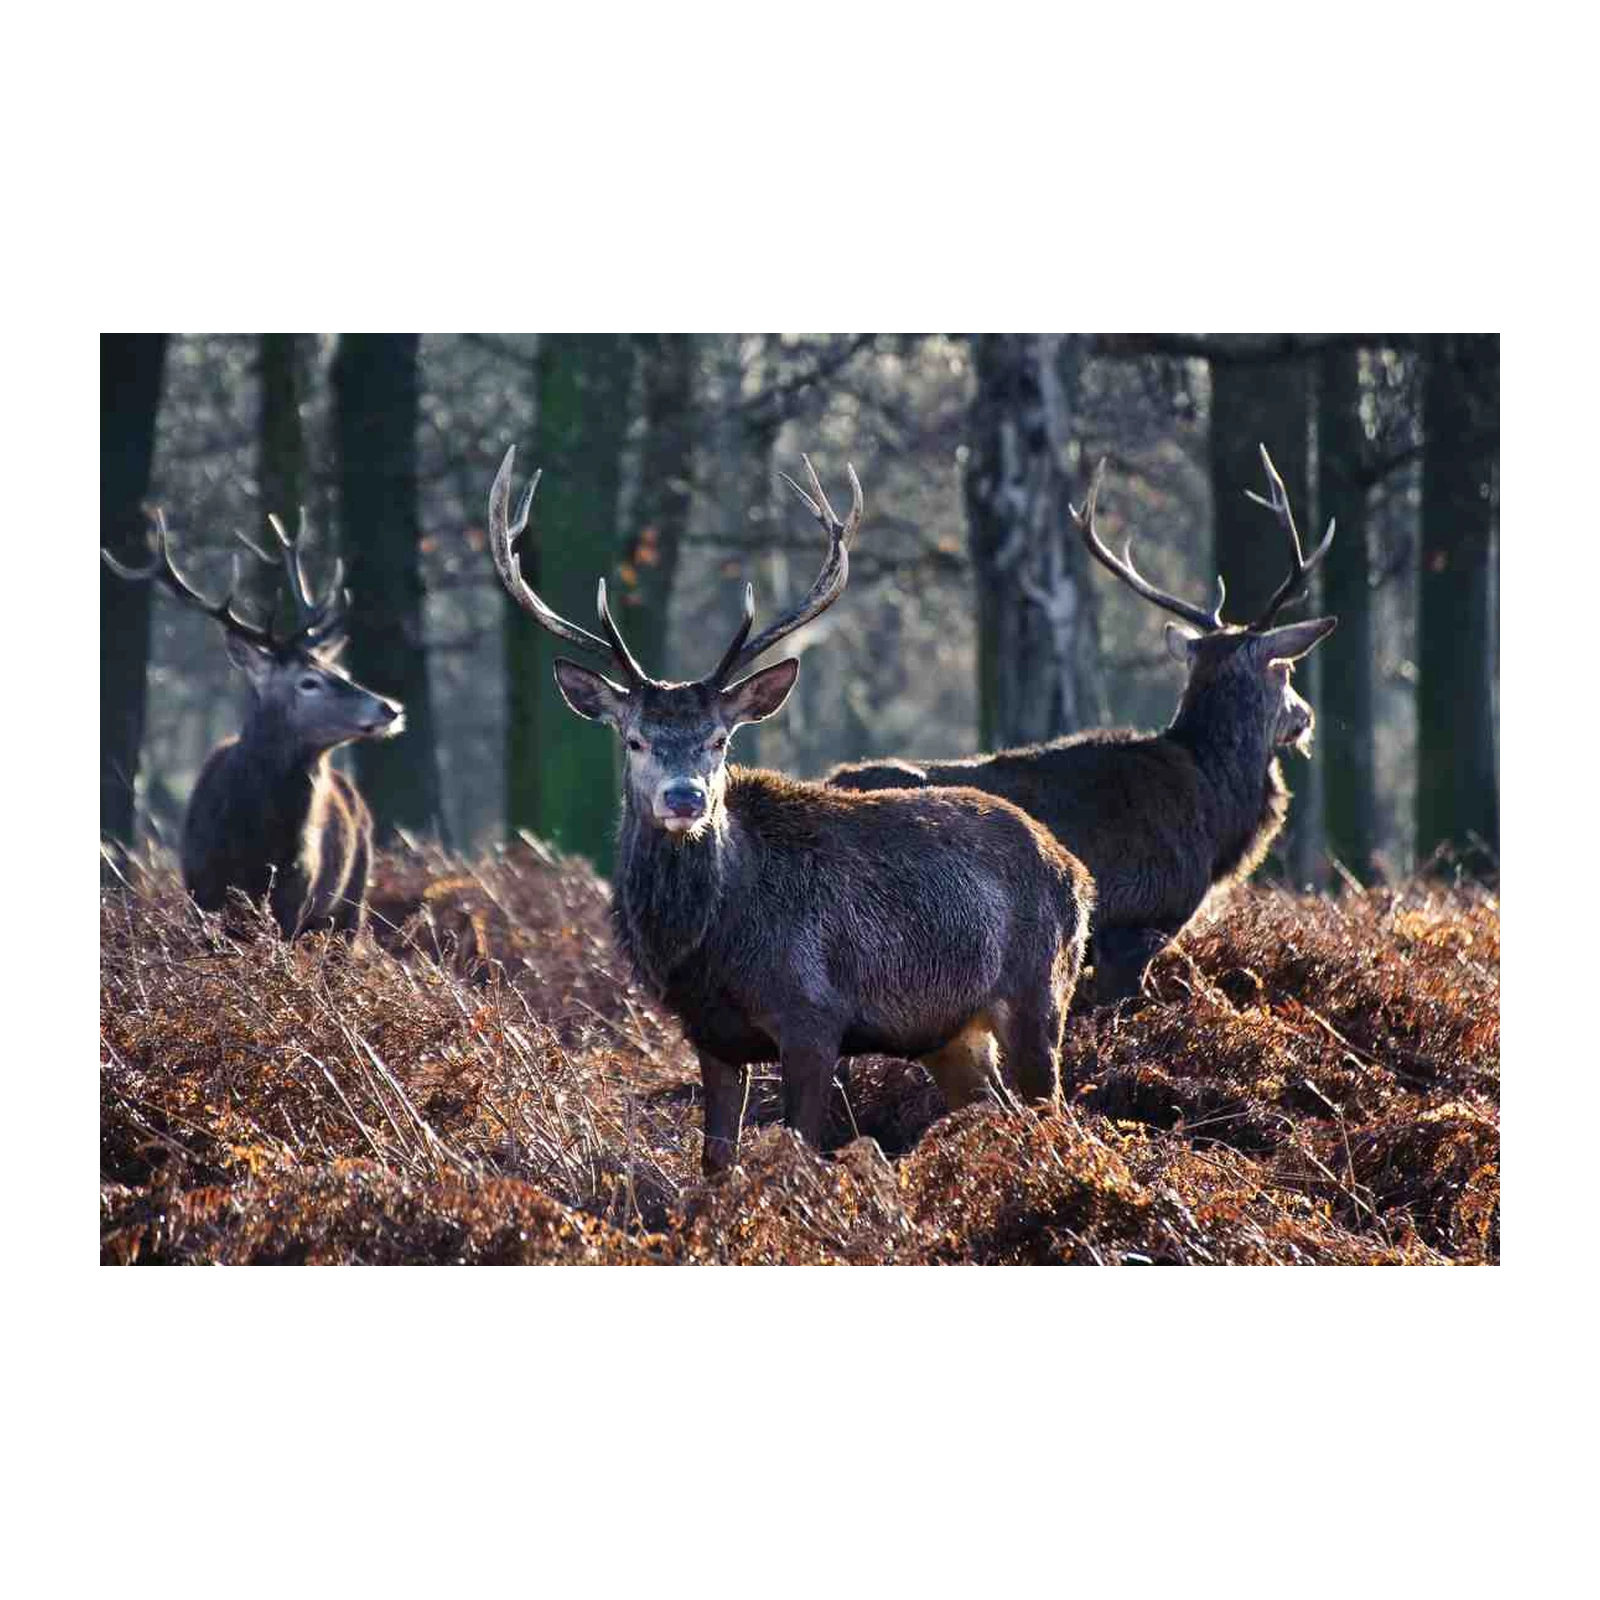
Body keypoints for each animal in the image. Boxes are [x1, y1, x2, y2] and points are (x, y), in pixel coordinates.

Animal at [98, 507, 404, 938]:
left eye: (338, 669)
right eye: (308, 681)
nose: (389, 708)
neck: (254, 846)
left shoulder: (295, 897)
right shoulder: (202, 890)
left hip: (350, 902)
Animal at [489, 446, 1094, 1176]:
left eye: (719, 740)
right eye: (633, 739)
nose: (685, 797)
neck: (710, 949)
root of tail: (1075, 869)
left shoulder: (814, 1017)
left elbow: (803, 1150)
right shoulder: (710, 1036)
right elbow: (716, 1160)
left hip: (1041, 992)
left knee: (1053, 1110)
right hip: (948, 1034)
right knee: (999, 1109)